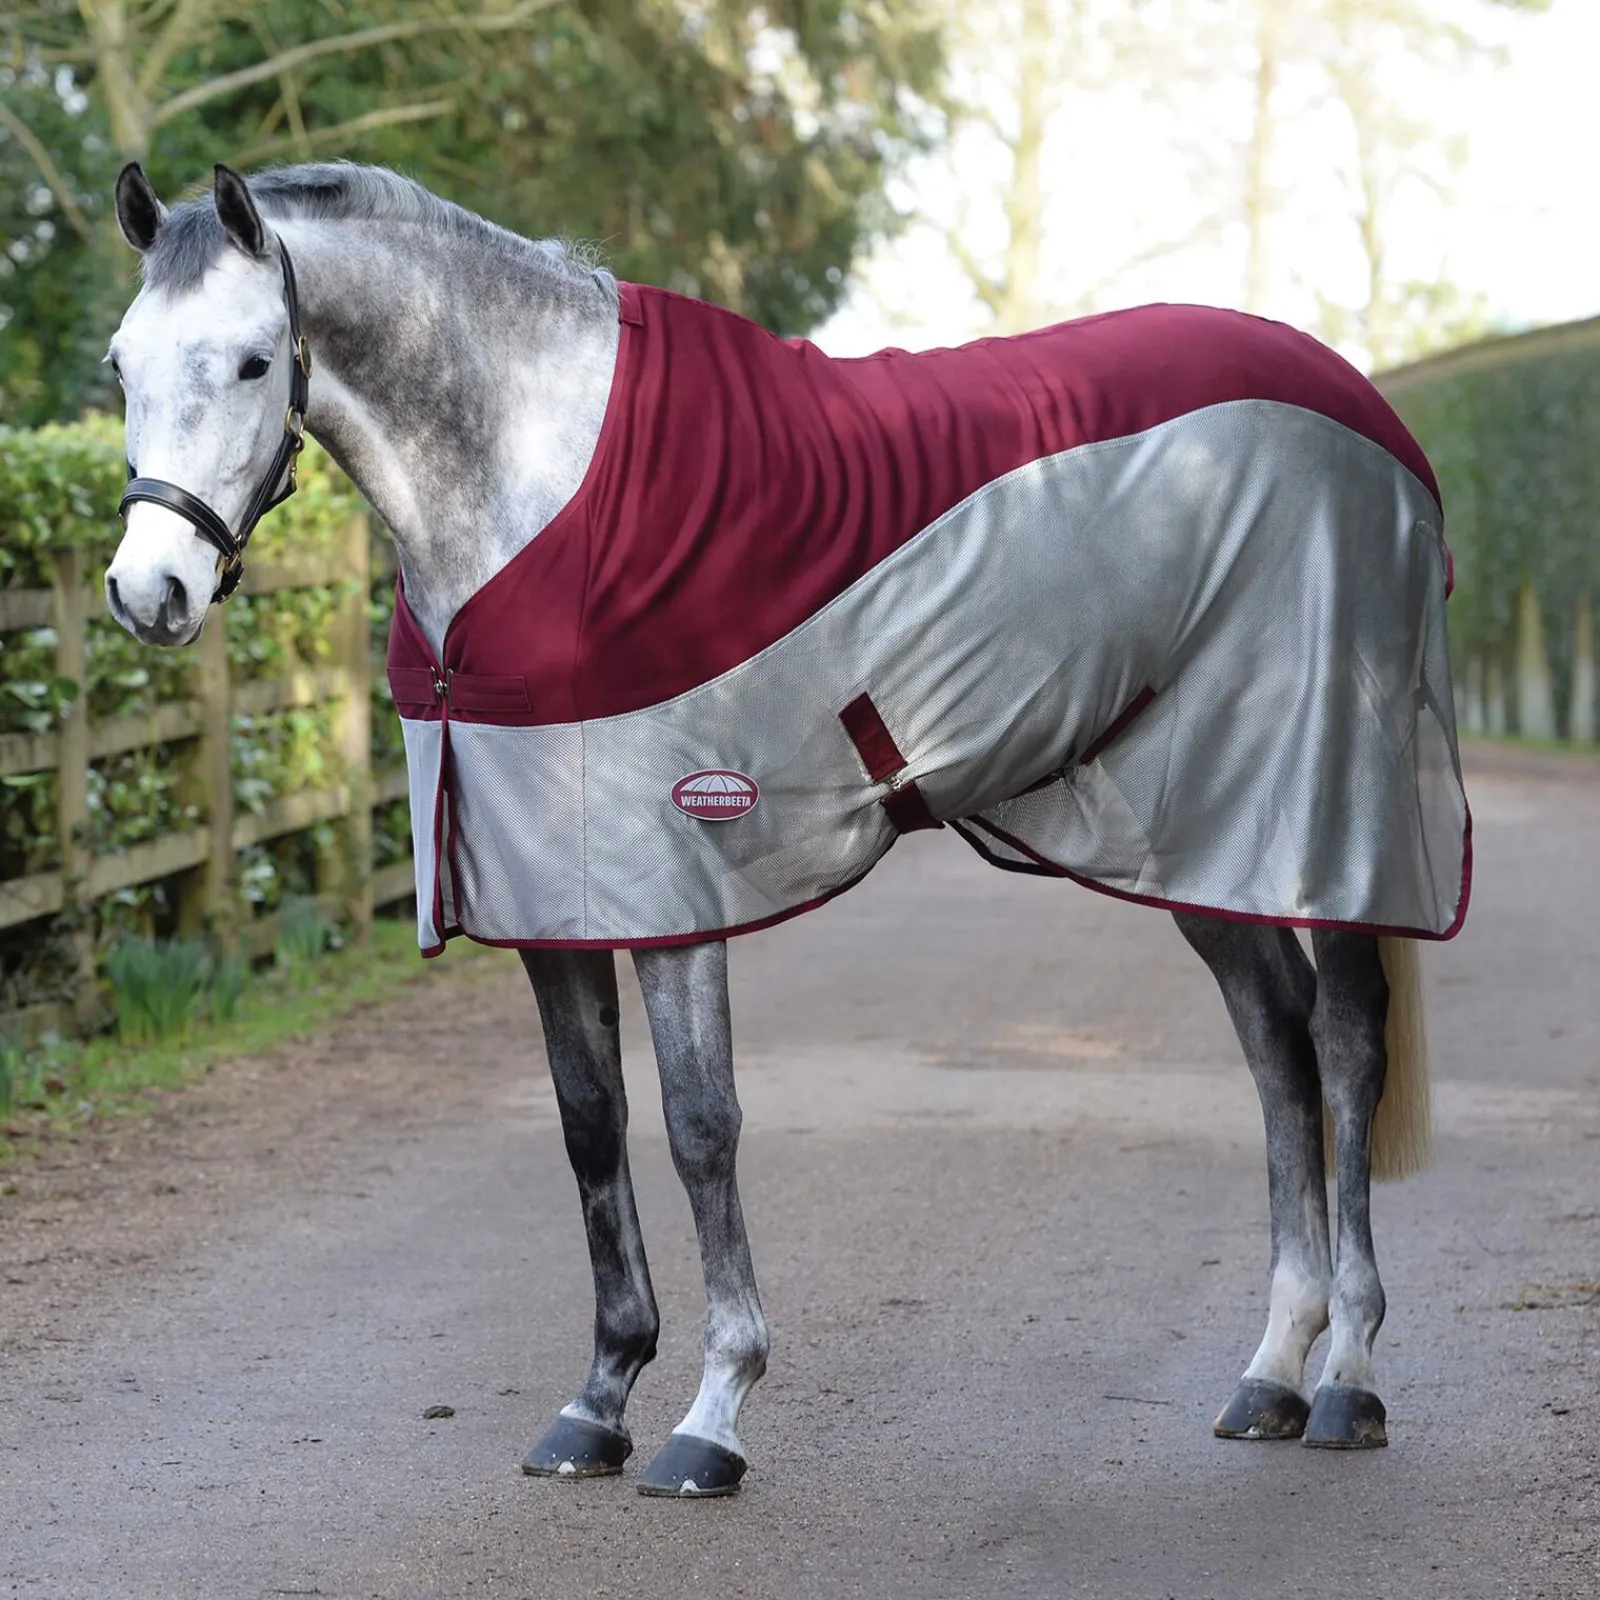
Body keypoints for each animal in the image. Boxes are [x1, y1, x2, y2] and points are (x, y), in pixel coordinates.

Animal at [103, 161, 1466, 1497]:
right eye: (120, 363)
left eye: (253, 362)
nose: (144, 592)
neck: (544, 493)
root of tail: (1366, 414)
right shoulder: (547, 895)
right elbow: (589, 1125)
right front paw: (596, 1402)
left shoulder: (673, 886)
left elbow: (701, 1128)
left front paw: (713, 1414)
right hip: (1194, 827)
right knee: (1275, 1044)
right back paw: (1271, 1373)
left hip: (1324, 800)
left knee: (1344, 1043)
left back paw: (1345, 1380)